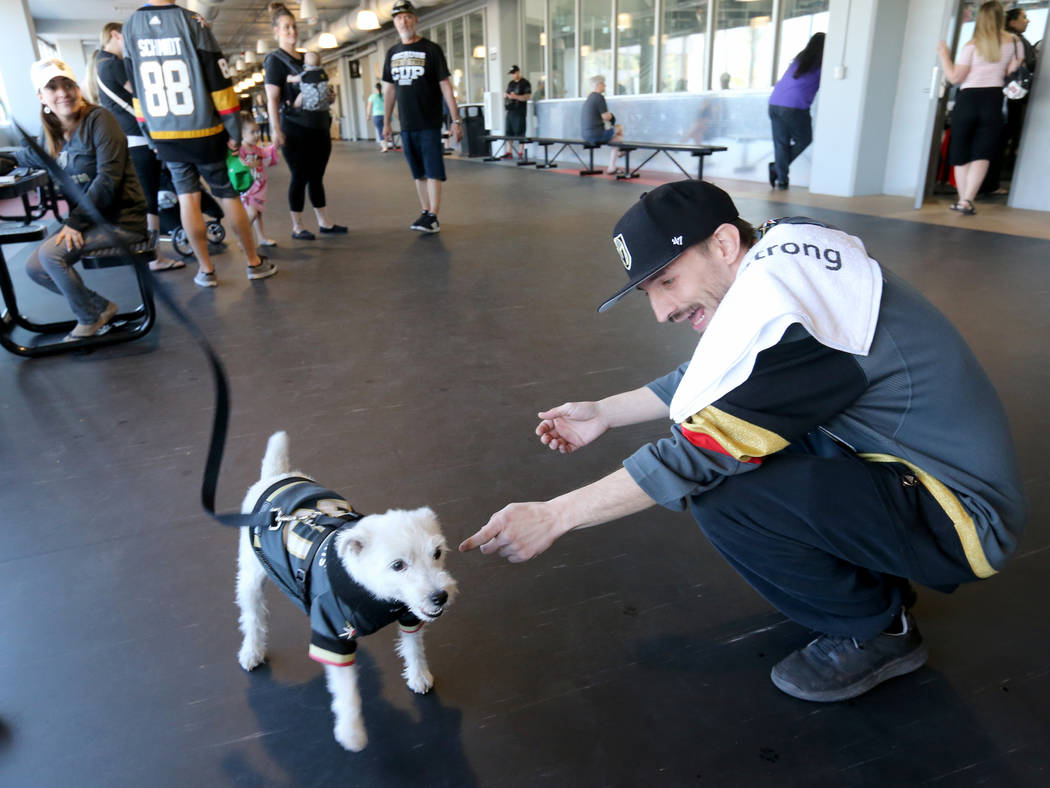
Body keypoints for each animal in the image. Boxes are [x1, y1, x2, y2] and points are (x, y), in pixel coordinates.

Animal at [238, 432, 455, 752]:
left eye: (437, 553)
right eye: (398, 565)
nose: (440, 596)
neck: (376, 597)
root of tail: (275, 477)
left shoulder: (409, 616)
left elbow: (414, 648)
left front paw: (418, 675)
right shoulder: (331, 639)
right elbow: (347, 693)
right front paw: (352, 733)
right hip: (251, 577)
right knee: (253, 616)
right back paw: (252, 650)